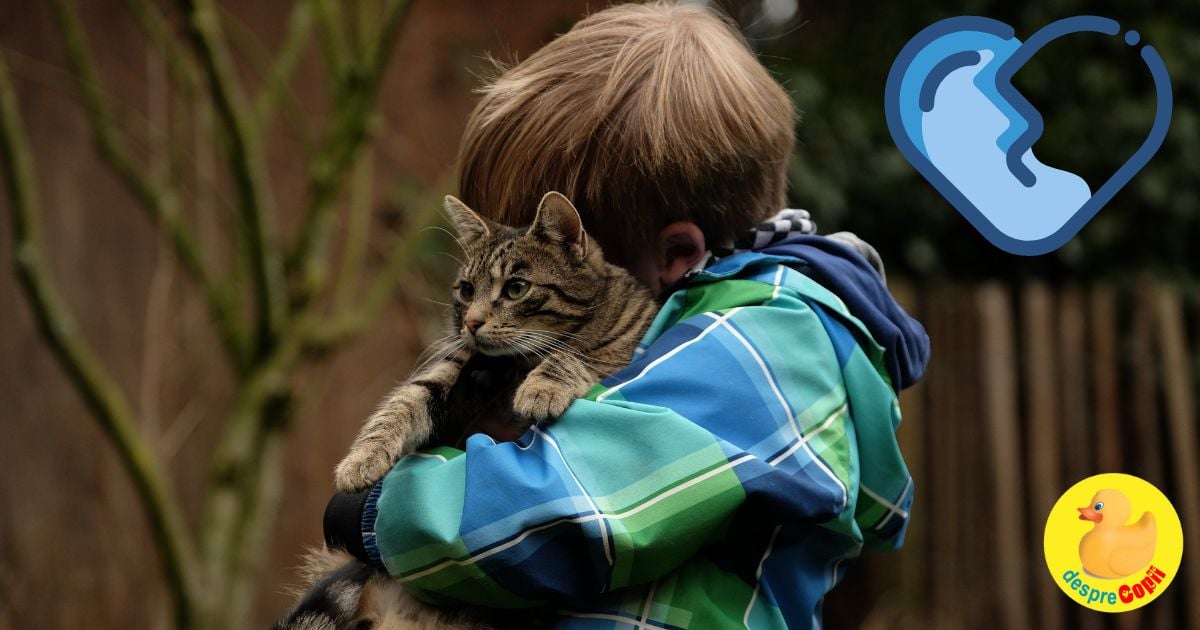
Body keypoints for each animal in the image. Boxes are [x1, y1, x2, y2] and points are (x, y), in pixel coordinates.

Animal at [274, 192, 657, 628]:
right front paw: (361, 460)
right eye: (467, 289)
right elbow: (401, 404)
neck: (515, 364)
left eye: (516, 289)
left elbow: (575, 355)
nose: (471, 323)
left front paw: (541, 388)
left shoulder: (618, 350)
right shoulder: (452, 367)